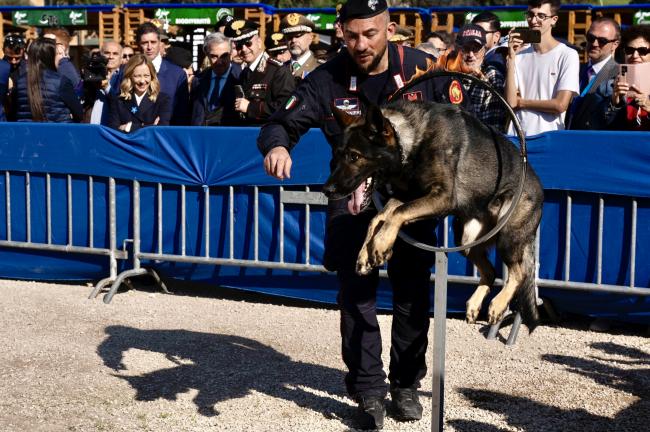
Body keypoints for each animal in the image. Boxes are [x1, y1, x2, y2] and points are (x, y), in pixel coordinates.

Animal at [322, 99, 540, 330]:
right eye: (336, 156)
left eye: (354, 156)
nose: (327, 190)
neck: (410, 140)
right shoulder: (411, 196)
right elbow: (379, 217)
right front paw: (366, 252)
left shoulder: (441, 198)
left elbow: (396, 213)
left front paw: (380, 245)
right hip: (466, 240)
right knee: (490, 271)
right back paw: (475, 303)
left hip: (507, 237)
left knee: (520, 272)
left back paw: (498, 305)